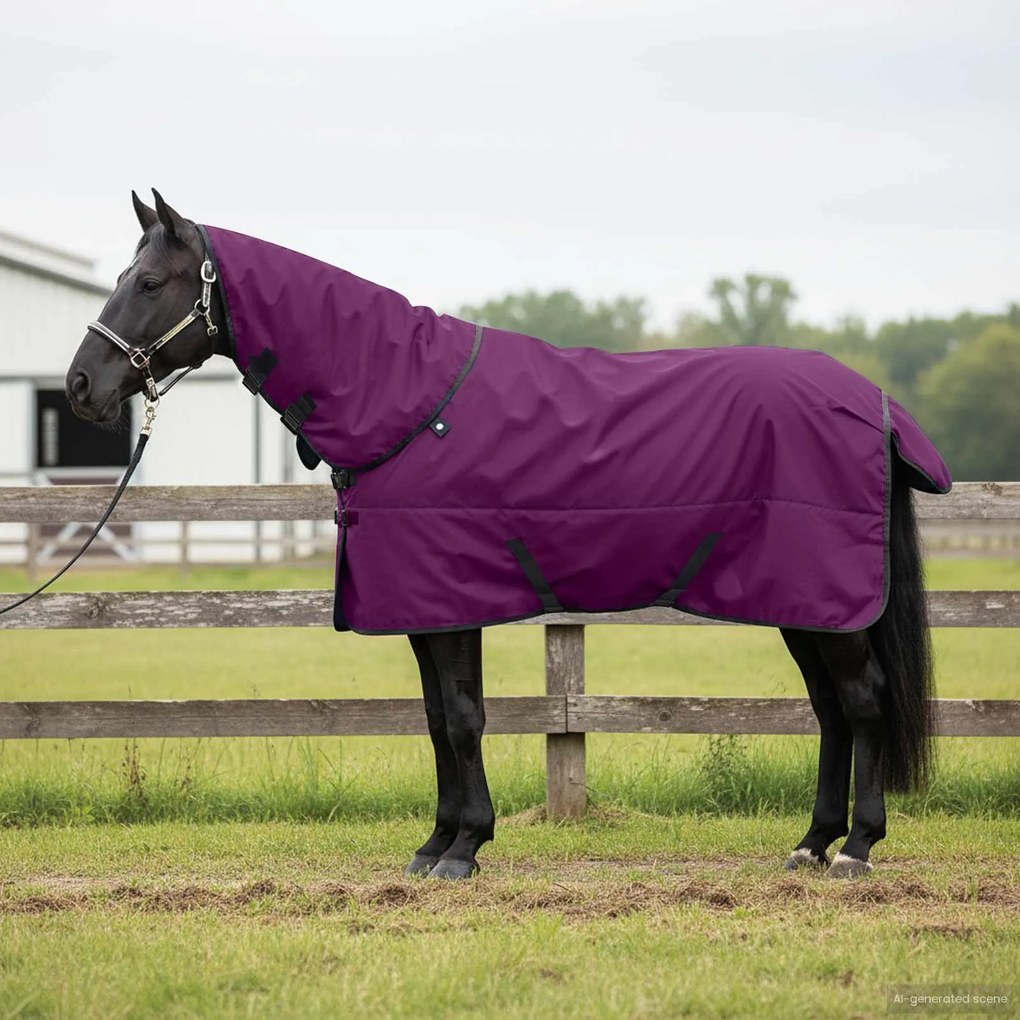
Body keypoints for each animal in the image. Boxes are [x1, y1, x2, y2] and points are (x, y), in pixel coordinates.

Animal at [65, 190, 951, 880]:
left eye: (149, 282)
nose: (80, 385)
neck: (407, 401)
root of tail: (873, 404)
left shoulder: (451, 602)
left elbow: (462, 717)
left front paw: (464, 850)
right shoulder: (423, 609)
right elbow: (435, 718)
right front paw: (435, 845)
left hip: (825, 601)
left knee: (862, 702)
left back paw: (856, 849)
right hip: (805, 604)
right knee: (831, 709)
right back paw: (810, 844)